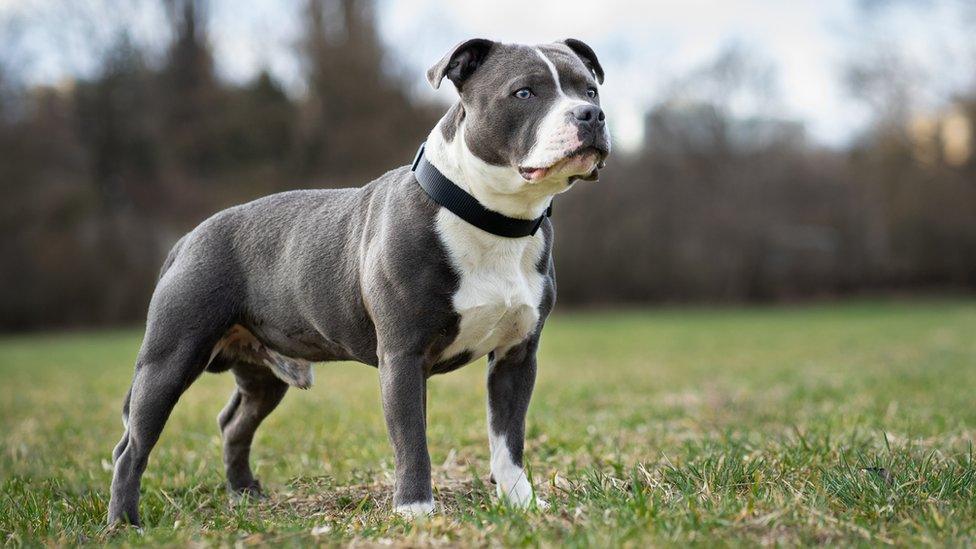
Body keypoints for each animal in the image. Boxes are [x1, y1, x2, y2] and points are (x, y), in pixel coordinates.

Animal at [107, 36, 608, 524]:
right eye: (524, 93)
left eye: (590, 90)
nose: (592, 115)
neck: (491, 218)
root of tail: (187, 238)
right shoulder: (403, 357)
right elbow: (412, 441)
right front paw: (415, 512)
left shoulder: (515, 357)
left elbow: (508, 442)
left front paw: (522, 504)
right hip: (169, 359)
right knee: (133, 447)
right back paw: (124, 522)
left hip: (262, 375)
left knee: (234, 423)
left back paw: (245, 495)